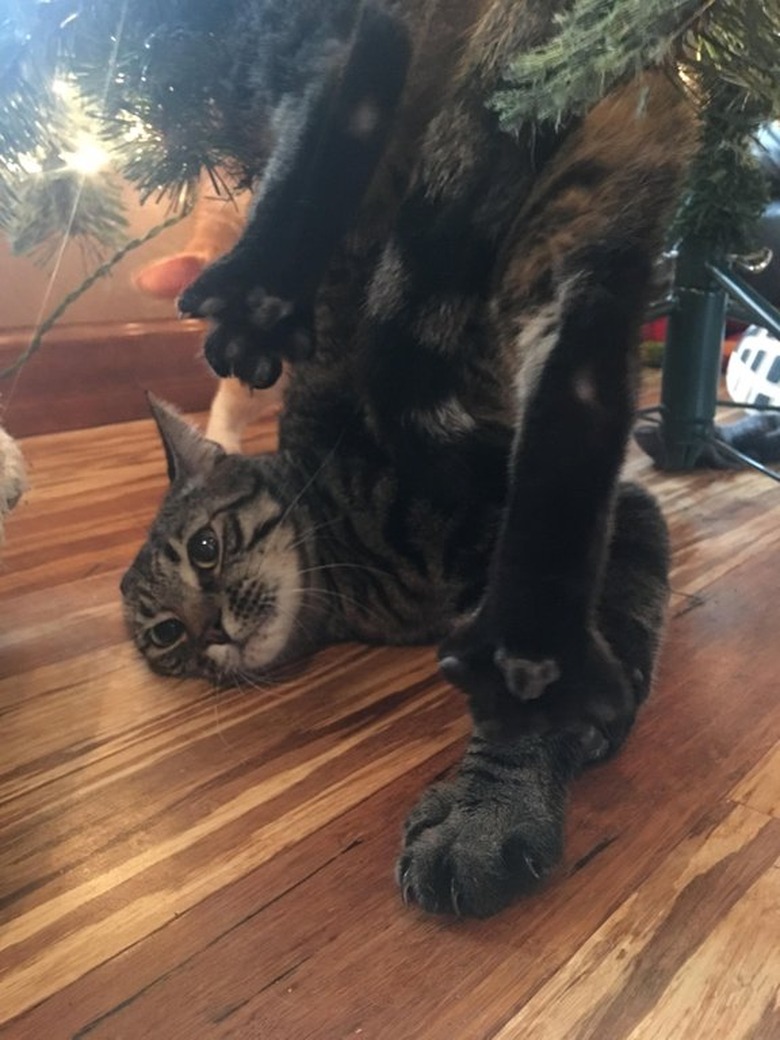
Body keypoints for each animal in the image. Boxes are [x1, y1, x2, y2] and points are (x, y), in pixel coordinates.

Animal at [122, 0, 694, 919]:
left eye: (204, 550)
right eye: (168, 636)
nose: (211, 634)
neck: (355, 573)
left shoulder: (624, 520)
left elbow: (535, 696)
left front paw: (490, 812)